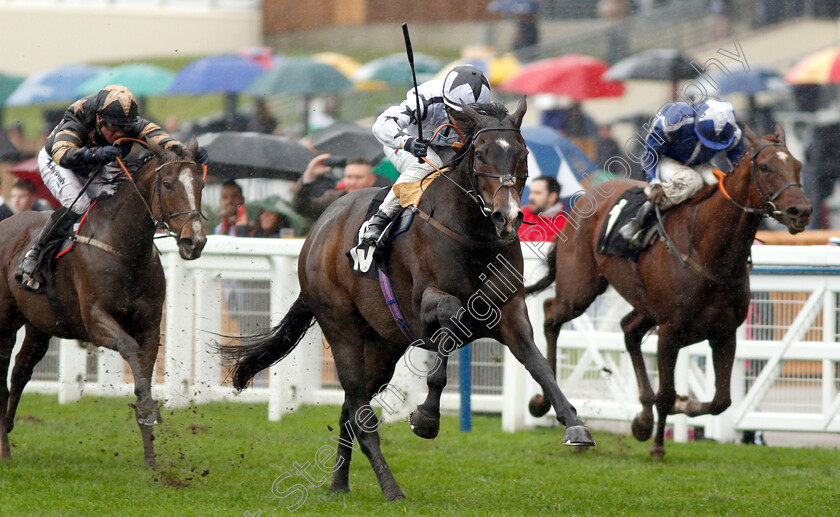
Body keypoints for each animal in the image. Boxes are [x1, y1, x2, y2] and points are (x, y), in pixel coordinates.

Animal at [0, 139, 207, 466]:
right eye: (168, 183)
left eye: (200, 184)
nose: (194, 241)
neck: (126, 250)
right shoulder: (95, 322)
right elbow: (128, 347)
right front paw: (148, 412)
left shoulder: (151, 328)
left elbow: (144, 373)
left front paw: (151, 457)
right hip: (5, 323)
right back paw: (4, 448)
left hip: (38, 325)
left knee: (21, 369)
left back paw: (7, 430)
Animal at [220, 100, 592, 500]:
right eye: (480, 154)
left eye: (522, 154)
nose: (506, 216)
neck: (472, 236)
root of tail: (319, 227)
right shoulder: (425, 304)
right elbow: (449, 328)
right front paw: (426, 418)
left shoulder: (510, 312)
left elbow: (539, 365)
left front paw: (574, 424)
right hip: (342, 331)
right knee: (360, 412)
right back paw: (390, 488)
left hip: (383, 346)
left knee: (350, 409)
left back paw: (339, 484)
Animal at [528, 123, 812, 458]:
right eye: (765, 167)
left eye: (798, 165)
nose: (801, 211)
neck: (709, 251)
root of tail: (583, 200)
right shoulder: (670, 331)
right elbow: (666, 392)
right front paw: (658, 446)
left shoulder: (724, 332)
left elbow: (721, 401)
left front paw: (680, 407)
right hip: (579, 289)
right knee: (551, 315)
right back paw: (543, 401)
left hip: (644, 305)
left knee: (629, 329)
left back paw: (642, 419)